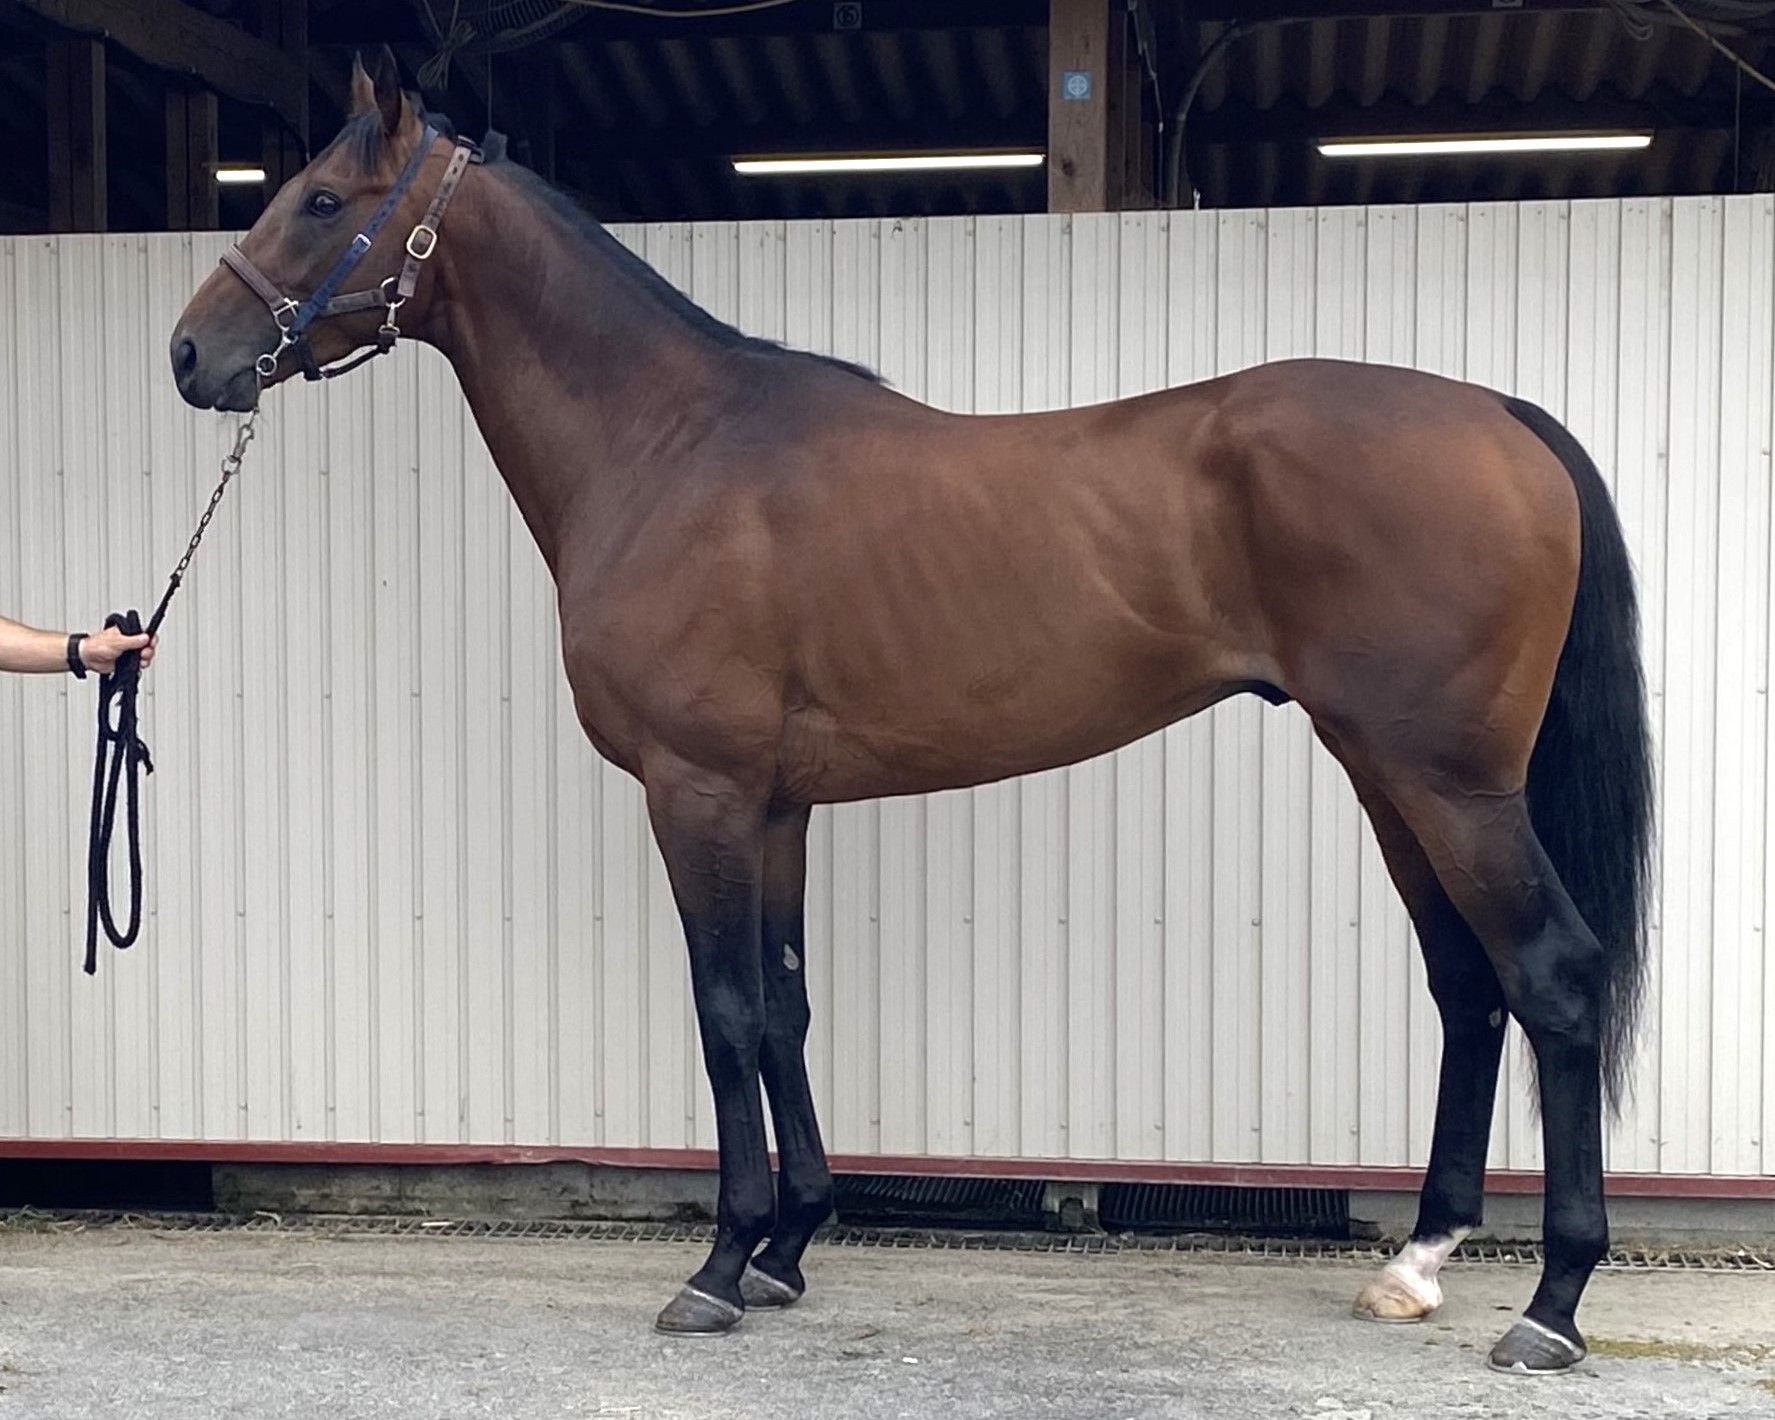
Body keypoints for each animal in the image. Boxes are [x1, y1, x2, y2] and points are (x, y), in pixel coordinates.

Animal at [168, 47, 1652, 1377]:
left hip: (1447, 784)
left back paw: (1549, 1306)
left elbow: (723, 1012)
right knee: (1466, 986)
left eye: (314, 199)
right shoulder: (772, 806)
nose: (191, 354)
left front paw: (719, 1266)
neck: (669, 447)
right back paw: (1416, 1263)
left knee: (1551, 977)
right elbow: (783, 1007)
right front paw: (786, 1250)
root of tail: (1498, 416)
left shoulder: (696, 792)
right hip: (1385, 772)